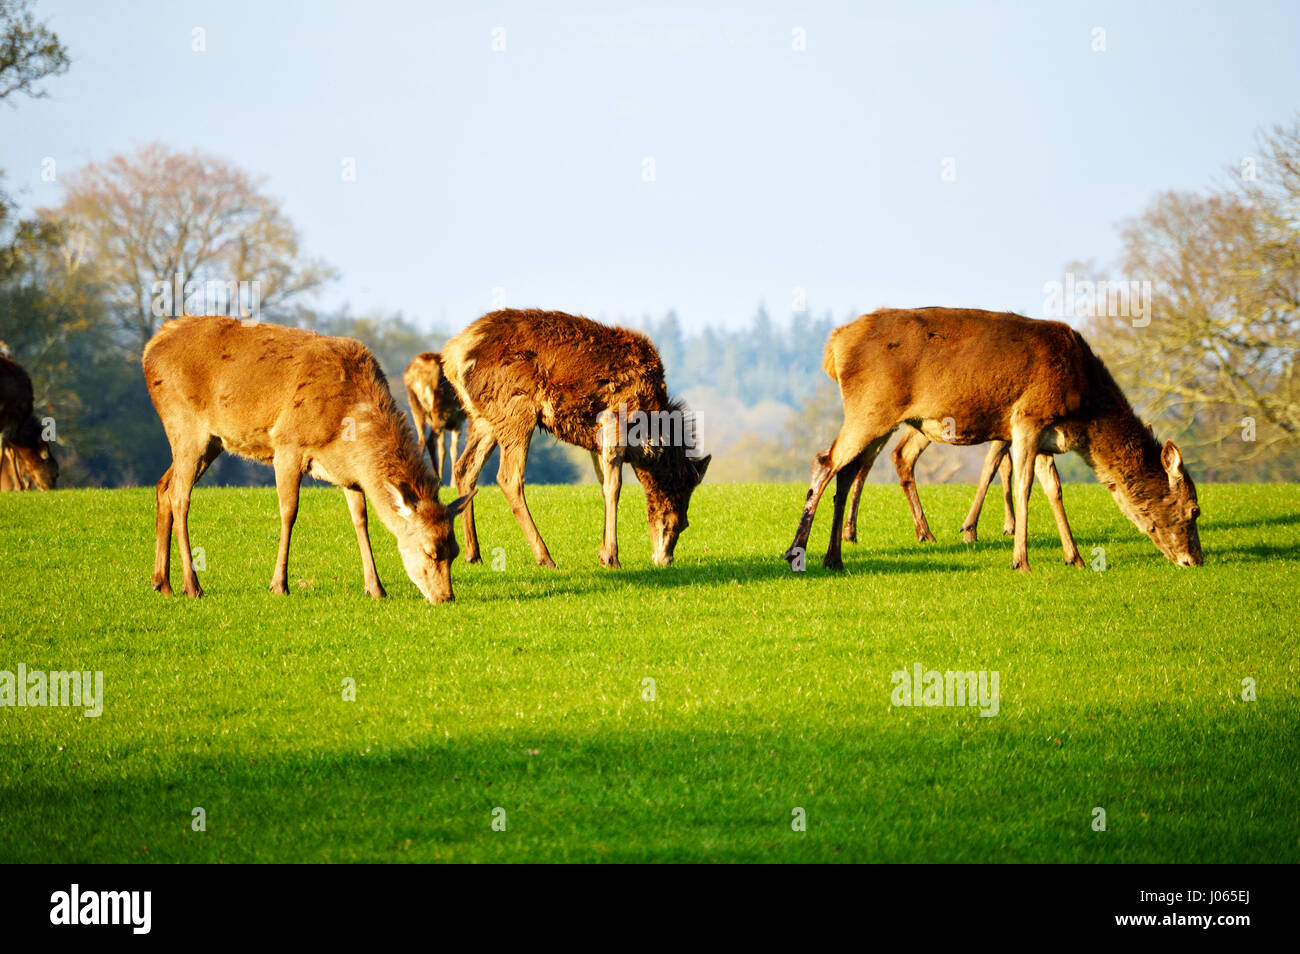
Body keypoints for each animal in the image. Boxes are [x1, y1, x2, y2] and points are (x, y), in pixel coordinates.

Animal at [405, 348, 473, 486]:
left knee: (421, 440)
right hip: (441, 408)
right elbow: (453, 450)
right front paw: (452, 483)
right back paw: (437, 478)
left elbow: (443, 450)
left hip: (415, 406)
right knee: (430, 441)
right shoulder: (458, 420)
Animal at [780, 310, 1196, 571]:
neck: (1086, 409)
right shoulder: (1027, 416)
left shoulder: (1044, 434)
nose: (1195, 559)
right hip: (871, 409)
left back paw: (835, 557)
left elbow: (1054, 489)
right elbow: (1023, 485)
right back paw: (796, 552)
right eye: (1194, 510)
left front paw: (1074, 557)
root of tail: (833, 347)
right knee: (825, 461)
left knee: (848, 470)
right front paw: (1020, 560)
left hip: (880, 420)